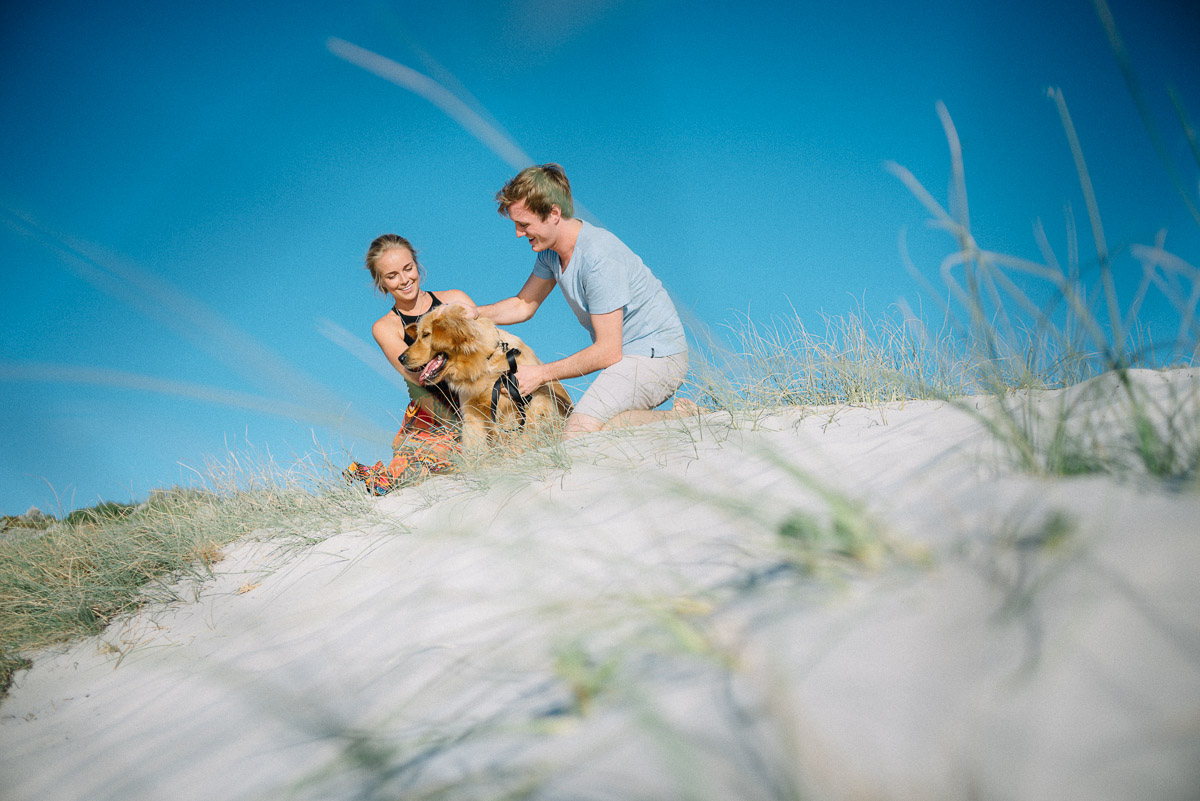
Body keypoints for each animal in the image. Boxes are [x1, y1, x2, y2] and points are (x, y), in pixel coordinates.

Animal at [398, 303, 571, 450]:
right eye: (417, 336)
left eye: (426, 334)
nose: (401, 358)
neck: (484, 364)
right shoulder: (473, 416)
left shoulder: (527, 404)